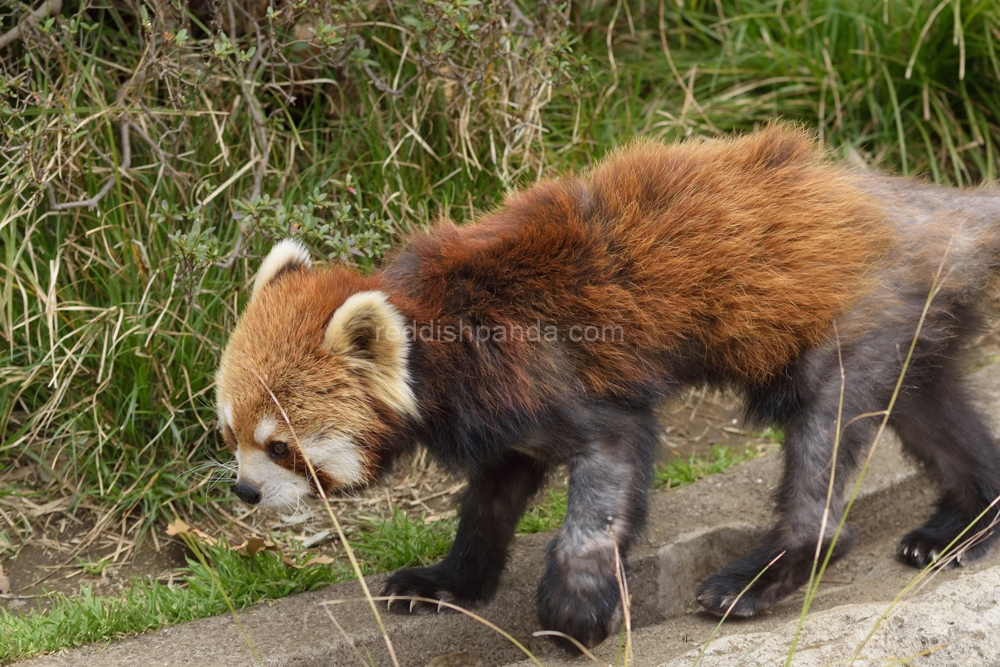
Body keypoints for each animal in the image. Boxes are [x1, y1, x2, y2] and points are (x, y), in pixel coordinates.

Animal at [215, 126, 1000, 652]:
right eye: (230, 433)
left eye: (279, 446)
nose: (245, 492)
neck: (443, 331)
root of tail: (922, 203)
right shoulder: (505, 418)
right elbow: (489, 505)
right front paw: (447, 582)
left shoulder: (555, 373)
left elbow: (608, 472)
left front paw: (575, 610)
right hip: (907, 326)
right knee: (931, 413)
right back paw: (964, 524)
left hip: (853, 321)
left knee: (825, 442)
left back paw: (762, 574)